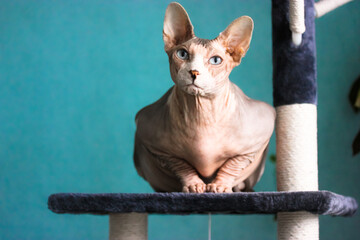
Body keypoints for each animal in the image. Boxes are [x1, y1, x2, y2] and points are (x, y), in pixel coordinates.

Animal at [133, 2, 276, 193]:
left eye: (216, 60)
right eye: (182, 54)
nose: (194, 72)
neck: (201, 110)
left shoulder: (261, 133)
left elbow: (233, 164)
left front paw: (220, 185)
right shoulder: (149, 135)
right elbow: (181, 165)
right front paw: (194, 184)